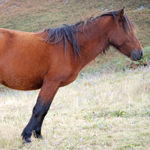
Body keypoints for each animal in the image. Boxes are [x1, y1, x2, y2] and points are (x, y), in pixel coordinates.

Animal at [0, 7, 143, 143]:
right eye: (128, 30)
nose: (140, 53)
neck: (68, 47)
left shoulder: (54, 85)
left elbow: (45, 109)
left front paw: (38, 135)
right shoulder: (51, 82)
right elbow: (38, 109)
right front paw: (26, 137)